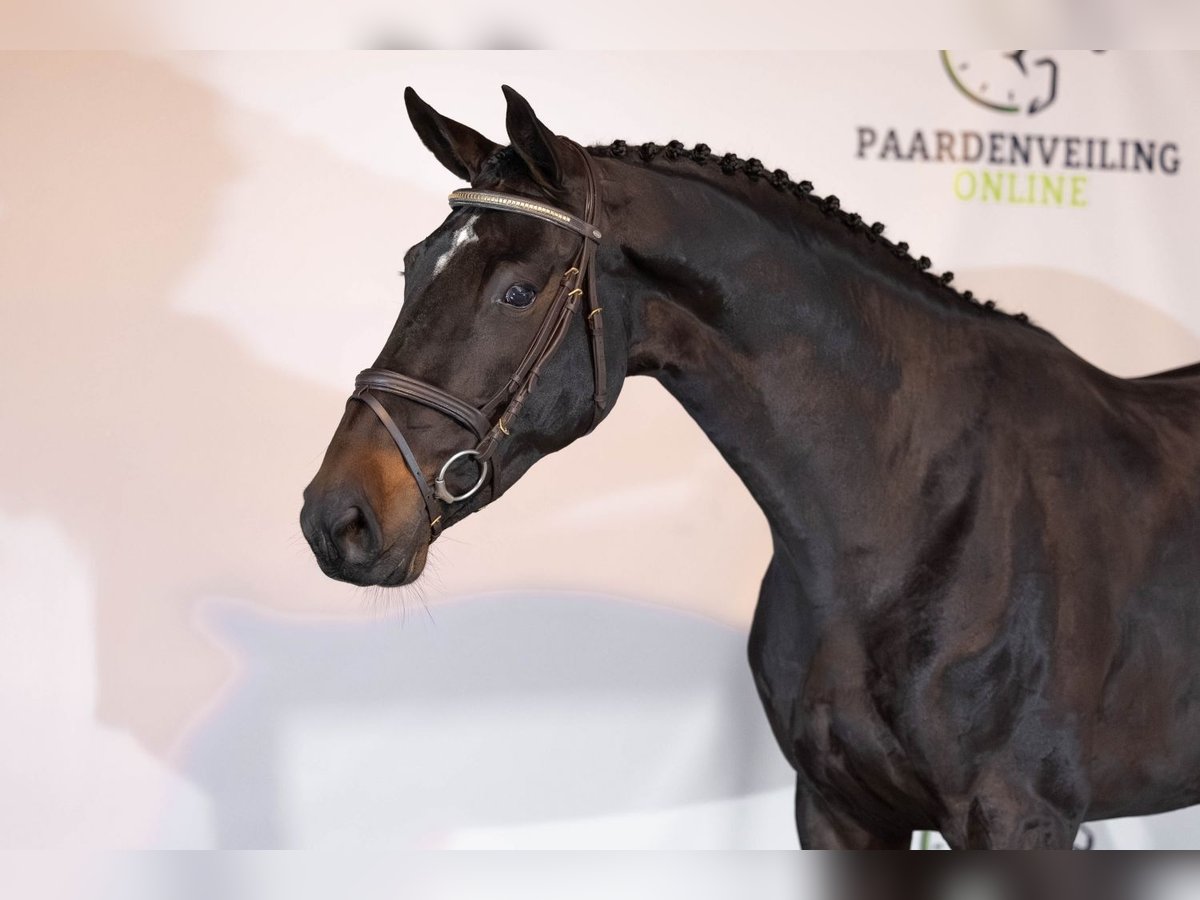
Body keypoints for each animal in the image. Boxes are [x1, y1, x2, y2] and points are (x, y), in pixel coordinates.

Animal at [301, 85, 1200, 849]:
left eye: (517, 293)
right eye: (413, 266)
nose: (336, 518)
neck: (913, 517)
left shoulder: (1020, 818)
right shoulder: (838, 809)